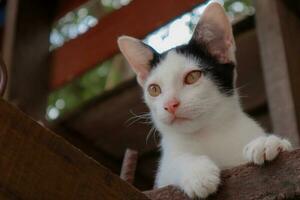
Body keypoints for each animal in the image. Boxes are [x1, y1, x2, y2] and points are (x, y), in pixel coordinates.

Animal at [117, 1, 290, 198]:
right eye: (154, 89)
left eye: (192, 77)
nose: (170, 104)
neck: (208, 134)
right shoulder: (163, 179)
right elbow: (174, 163)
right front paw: (197, 172)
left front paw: (269, 142)